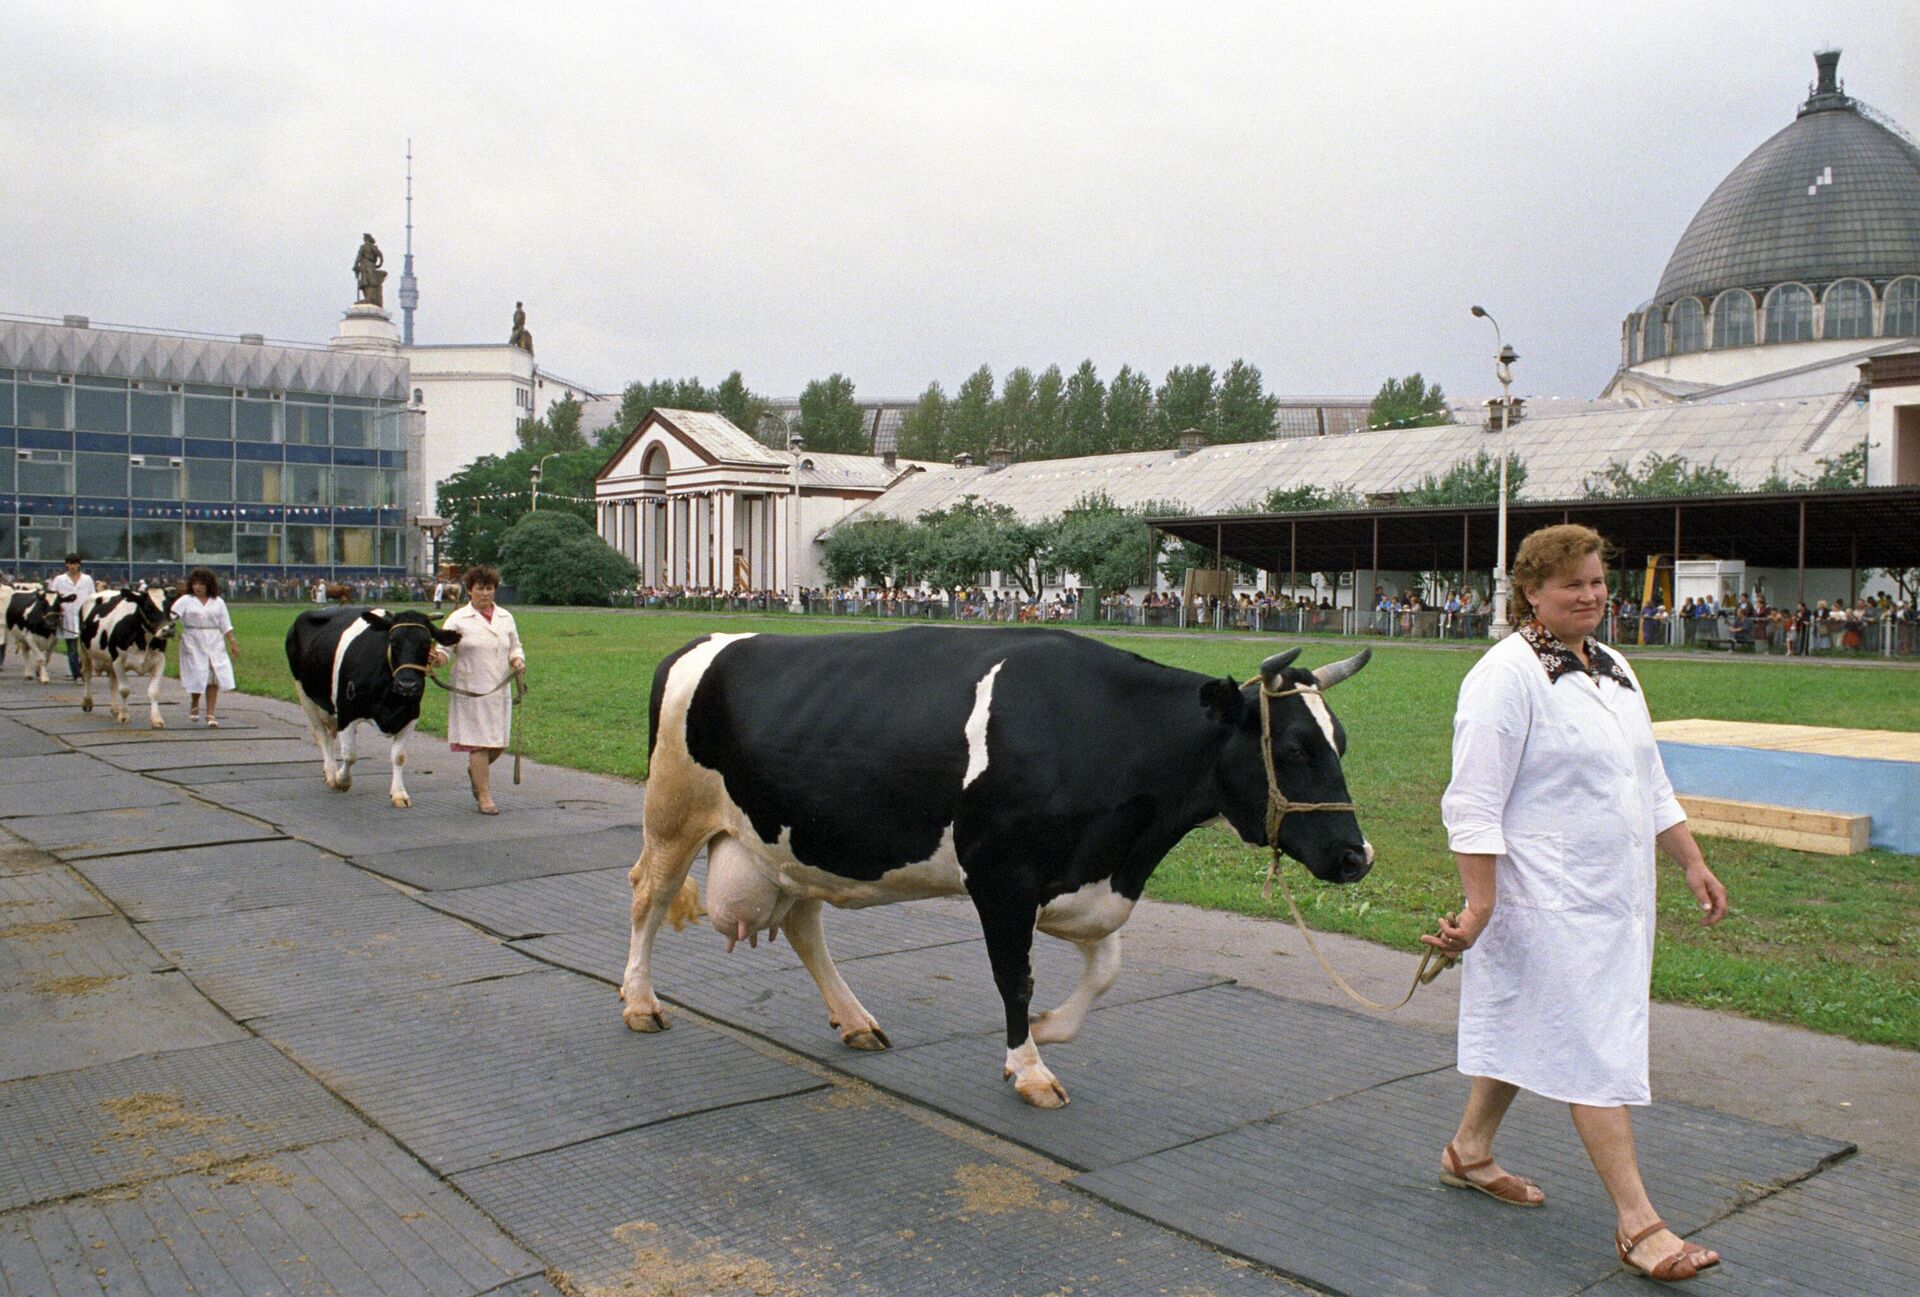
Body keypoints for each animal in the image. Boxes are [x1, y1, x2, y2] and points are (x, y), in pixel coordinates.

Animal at [78, 587, 176, 729]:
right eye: (148, 607)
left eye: (169, 606)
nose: (168, 630)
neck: (143, 642)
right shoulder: (118, 661)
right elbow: (124, 690)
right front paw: (124, 716)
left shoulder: (160, 660)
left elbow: (154, 691)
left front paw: (156, 719)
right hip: (84, 651)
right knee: (87, 675)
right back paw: (87, 701)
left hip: (110, 660)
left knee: (112, 683)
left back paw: (115, 709)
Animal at [284, 602, 460, 805]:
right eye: (393, 641)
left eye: (426, 643)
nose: (407, 685)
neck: (390, 702)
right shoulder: (347, 712)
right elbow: (350, 754)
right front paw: (342, 780)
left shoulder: (411, 715)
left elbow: (399, 756)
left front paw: (399, 793)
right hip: (303, 692)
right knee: (321, 734)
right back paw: (330, 773)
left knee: (330, 733)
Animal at [622, 625, 1374, 1105]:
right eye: (1297, 748)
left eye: (1341, 740)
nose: (1356, 855)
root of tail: (698, 645)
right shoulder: (1003, 878)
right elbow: (1015, 978)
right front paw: (1030, 1067)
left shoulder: (1080, 878)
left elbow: (1107, 968)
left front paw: (1048, 1029)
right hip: (672, 816)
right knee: (647, 900)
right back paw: (639, 1003)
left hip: (792, 844)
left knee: (806, 926)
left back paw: (855, 1019)